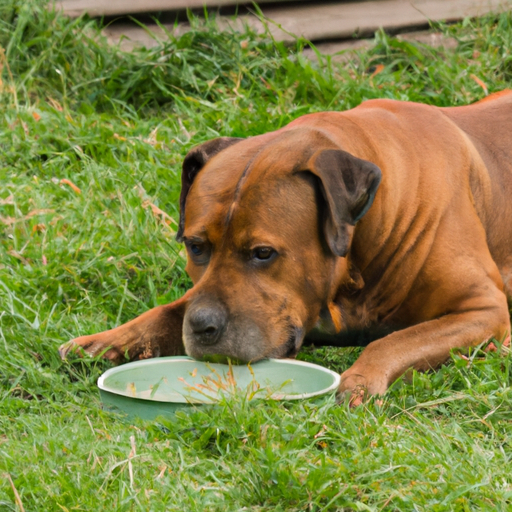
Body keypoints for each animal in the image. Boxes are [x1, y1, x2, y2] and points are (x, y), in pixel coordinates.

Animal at [59, 92, 512, 400]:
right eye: (195, 246)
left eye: (263, 253)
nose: (202, 327)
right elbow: (169, 310)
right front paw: (110, 338)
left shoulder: (483, 310)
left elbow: (393, 341)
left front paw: (362, 378)